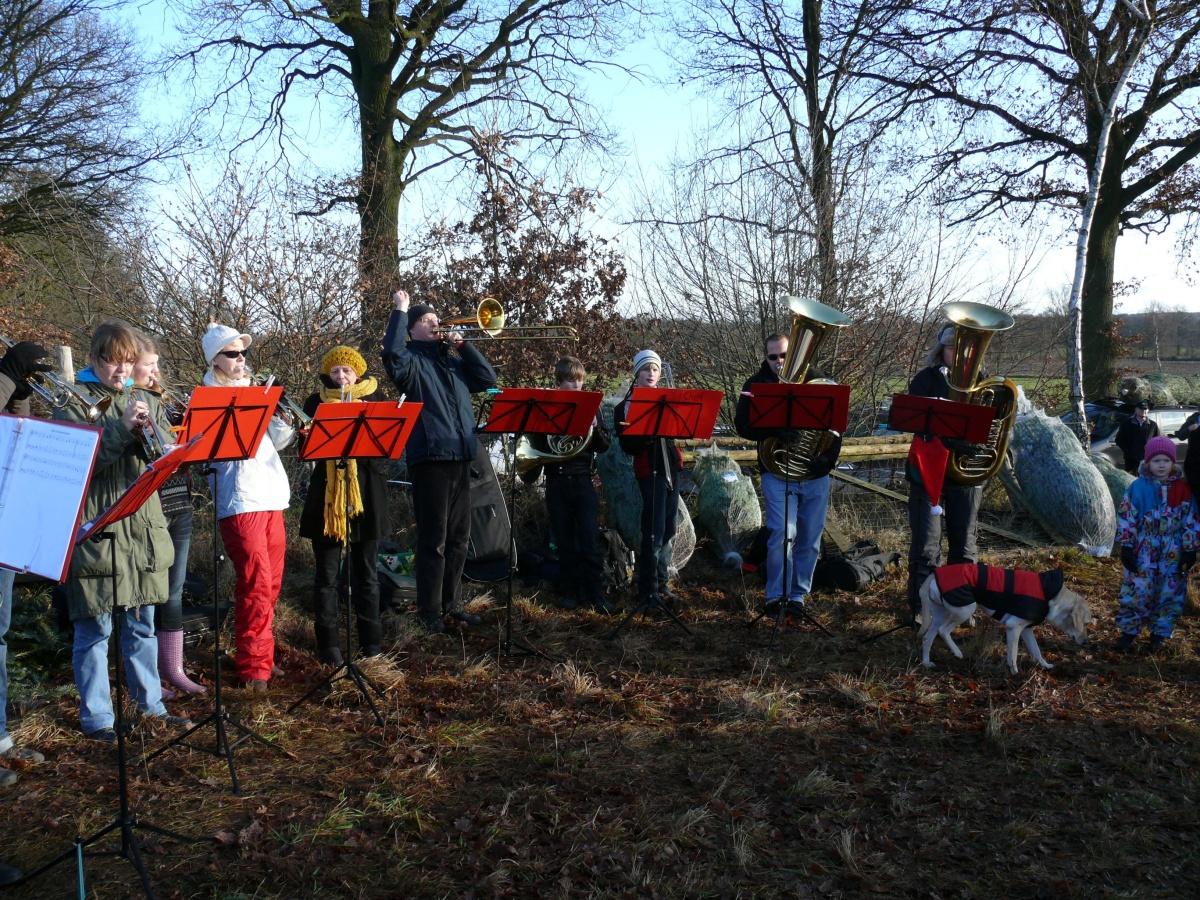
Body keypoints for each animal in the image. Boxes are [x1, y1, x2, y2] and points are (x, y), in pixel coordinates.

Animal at [916, 564, 1089, 676]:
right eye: (1086, 623)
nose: (1085, 642)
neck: (1050, 595)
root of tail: (934, 573)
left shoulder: (1026, 631)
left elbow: (1037, 651)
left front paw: (1045, 665)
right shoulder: (1014, 628)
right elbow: (1012, 655)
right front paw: (1015, 674)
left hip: (941, 615)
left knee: (927, 637)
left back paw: (926, 662)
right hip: (965, 610)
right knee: (943, 631)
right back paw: (957, 652)